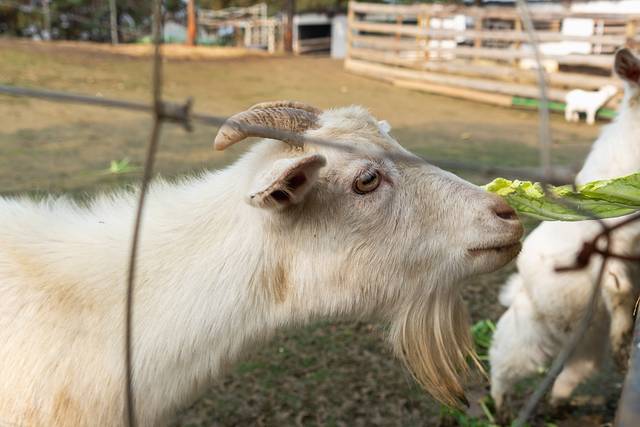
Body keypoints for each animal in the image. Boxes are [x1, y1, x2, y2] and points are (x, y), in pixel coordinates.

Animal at [490, 48, 640, 413]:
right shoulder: (614, 247)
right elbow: (619, 291)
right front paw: (624, 343)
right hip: (534, 326)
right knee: (505, 356)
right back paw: (499, 405)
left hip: (586, 337)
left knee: (575, 369)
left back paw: (559, 401)